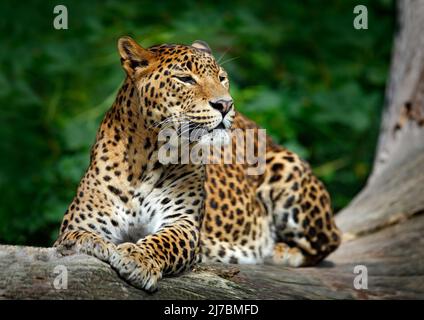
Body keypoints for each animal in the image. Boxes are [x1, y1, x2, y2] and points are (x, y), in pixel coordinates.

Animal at [55, 36, 342, 292]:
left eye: (222, 78)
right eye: (185, 79)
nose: (225, 104)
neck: (147, 158)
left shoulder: (184, 222)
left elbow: (163, 241)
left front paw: (137, 259)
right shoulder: (79, 223)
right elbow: (77, 238)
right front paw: (97, 245)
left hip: (285, 167)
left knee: (330, 241)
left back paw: (280, 251)